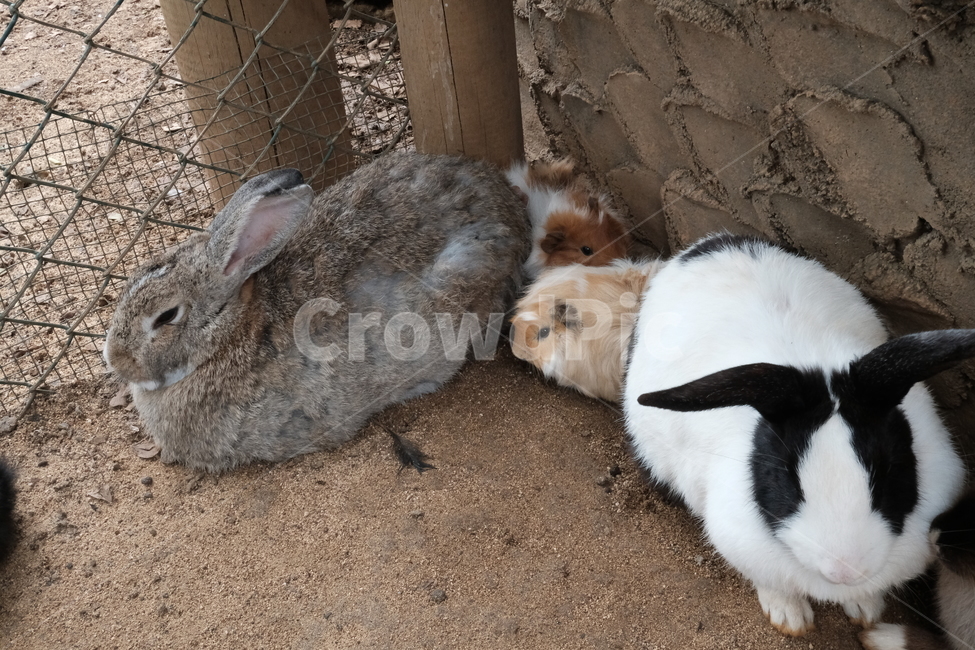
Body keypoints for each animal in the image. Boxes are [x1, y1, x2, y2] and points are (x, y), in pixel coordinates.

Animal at [623, 233, 969, 637]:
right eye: (786, 477)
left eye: (888, 470)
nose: (845, 570)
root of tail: (716, 241)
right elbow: (772, 584)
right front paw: (790, 619)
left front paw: (866, 610)